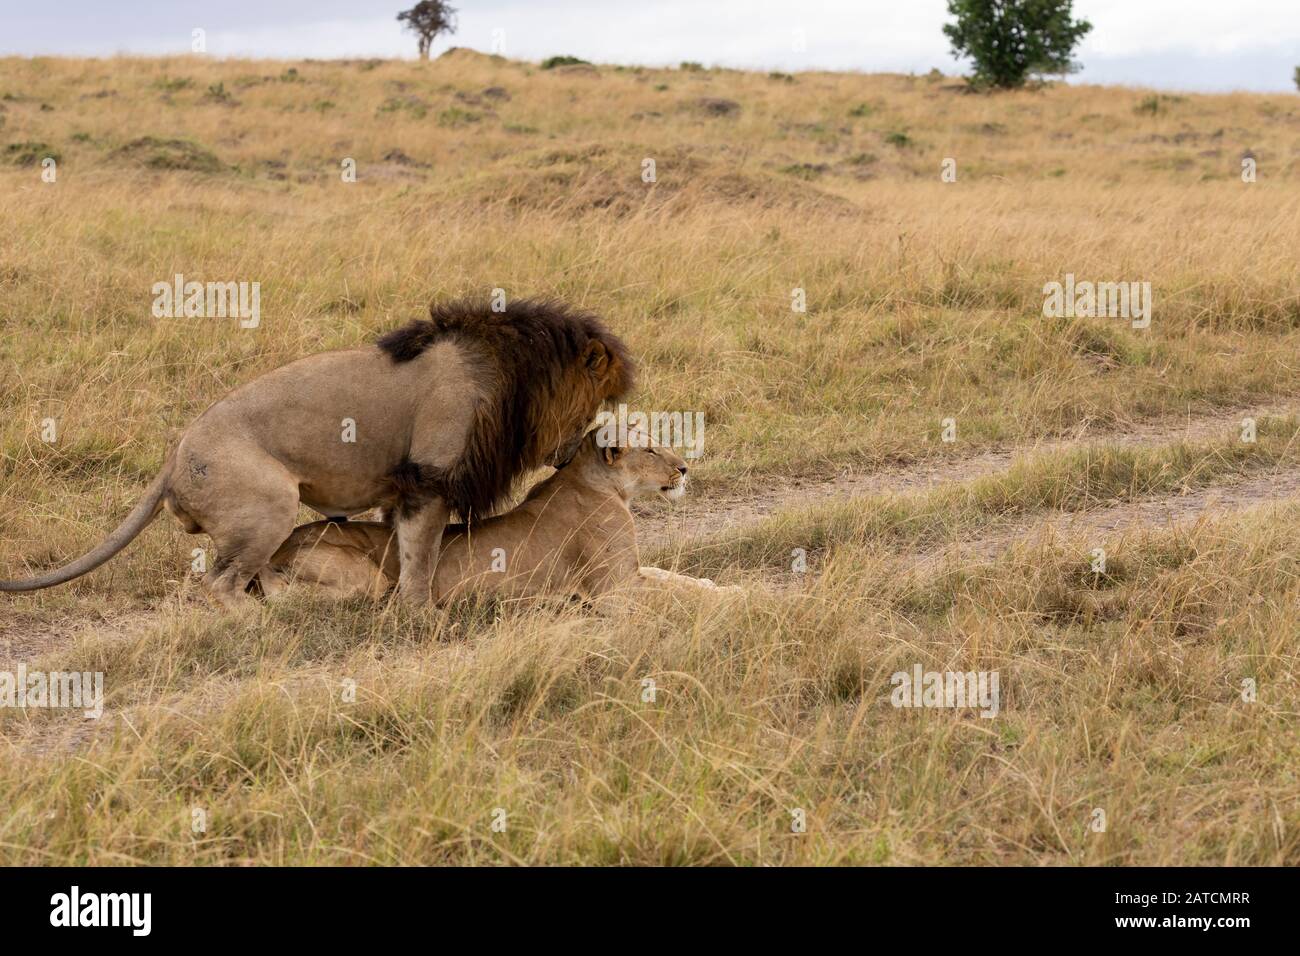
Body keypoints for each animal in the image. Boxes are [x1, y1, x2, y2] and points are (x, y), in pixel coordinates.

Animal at [1, 299, 634, 606]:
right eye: (593, 406)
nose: (568, 455)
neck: (512, 377)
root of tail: (175, 453)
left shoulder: (404, 489)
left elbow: (403, 548)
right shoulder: (428, 477)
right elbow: (422, 560)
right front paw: (420, 614)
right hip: (270, 503)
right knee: (219, 585)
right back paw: (263, 623)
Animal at [258, 429, 738, 600]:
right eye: (651, 450)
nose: (684, 468)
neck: (608, 486)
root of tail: (274, 553)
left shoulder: (631, 571)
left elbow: (671, 576)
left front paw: (718, 584)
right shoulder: (612, 589)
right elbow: (674, 593)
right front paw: (735, 597)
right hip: (371, 582)